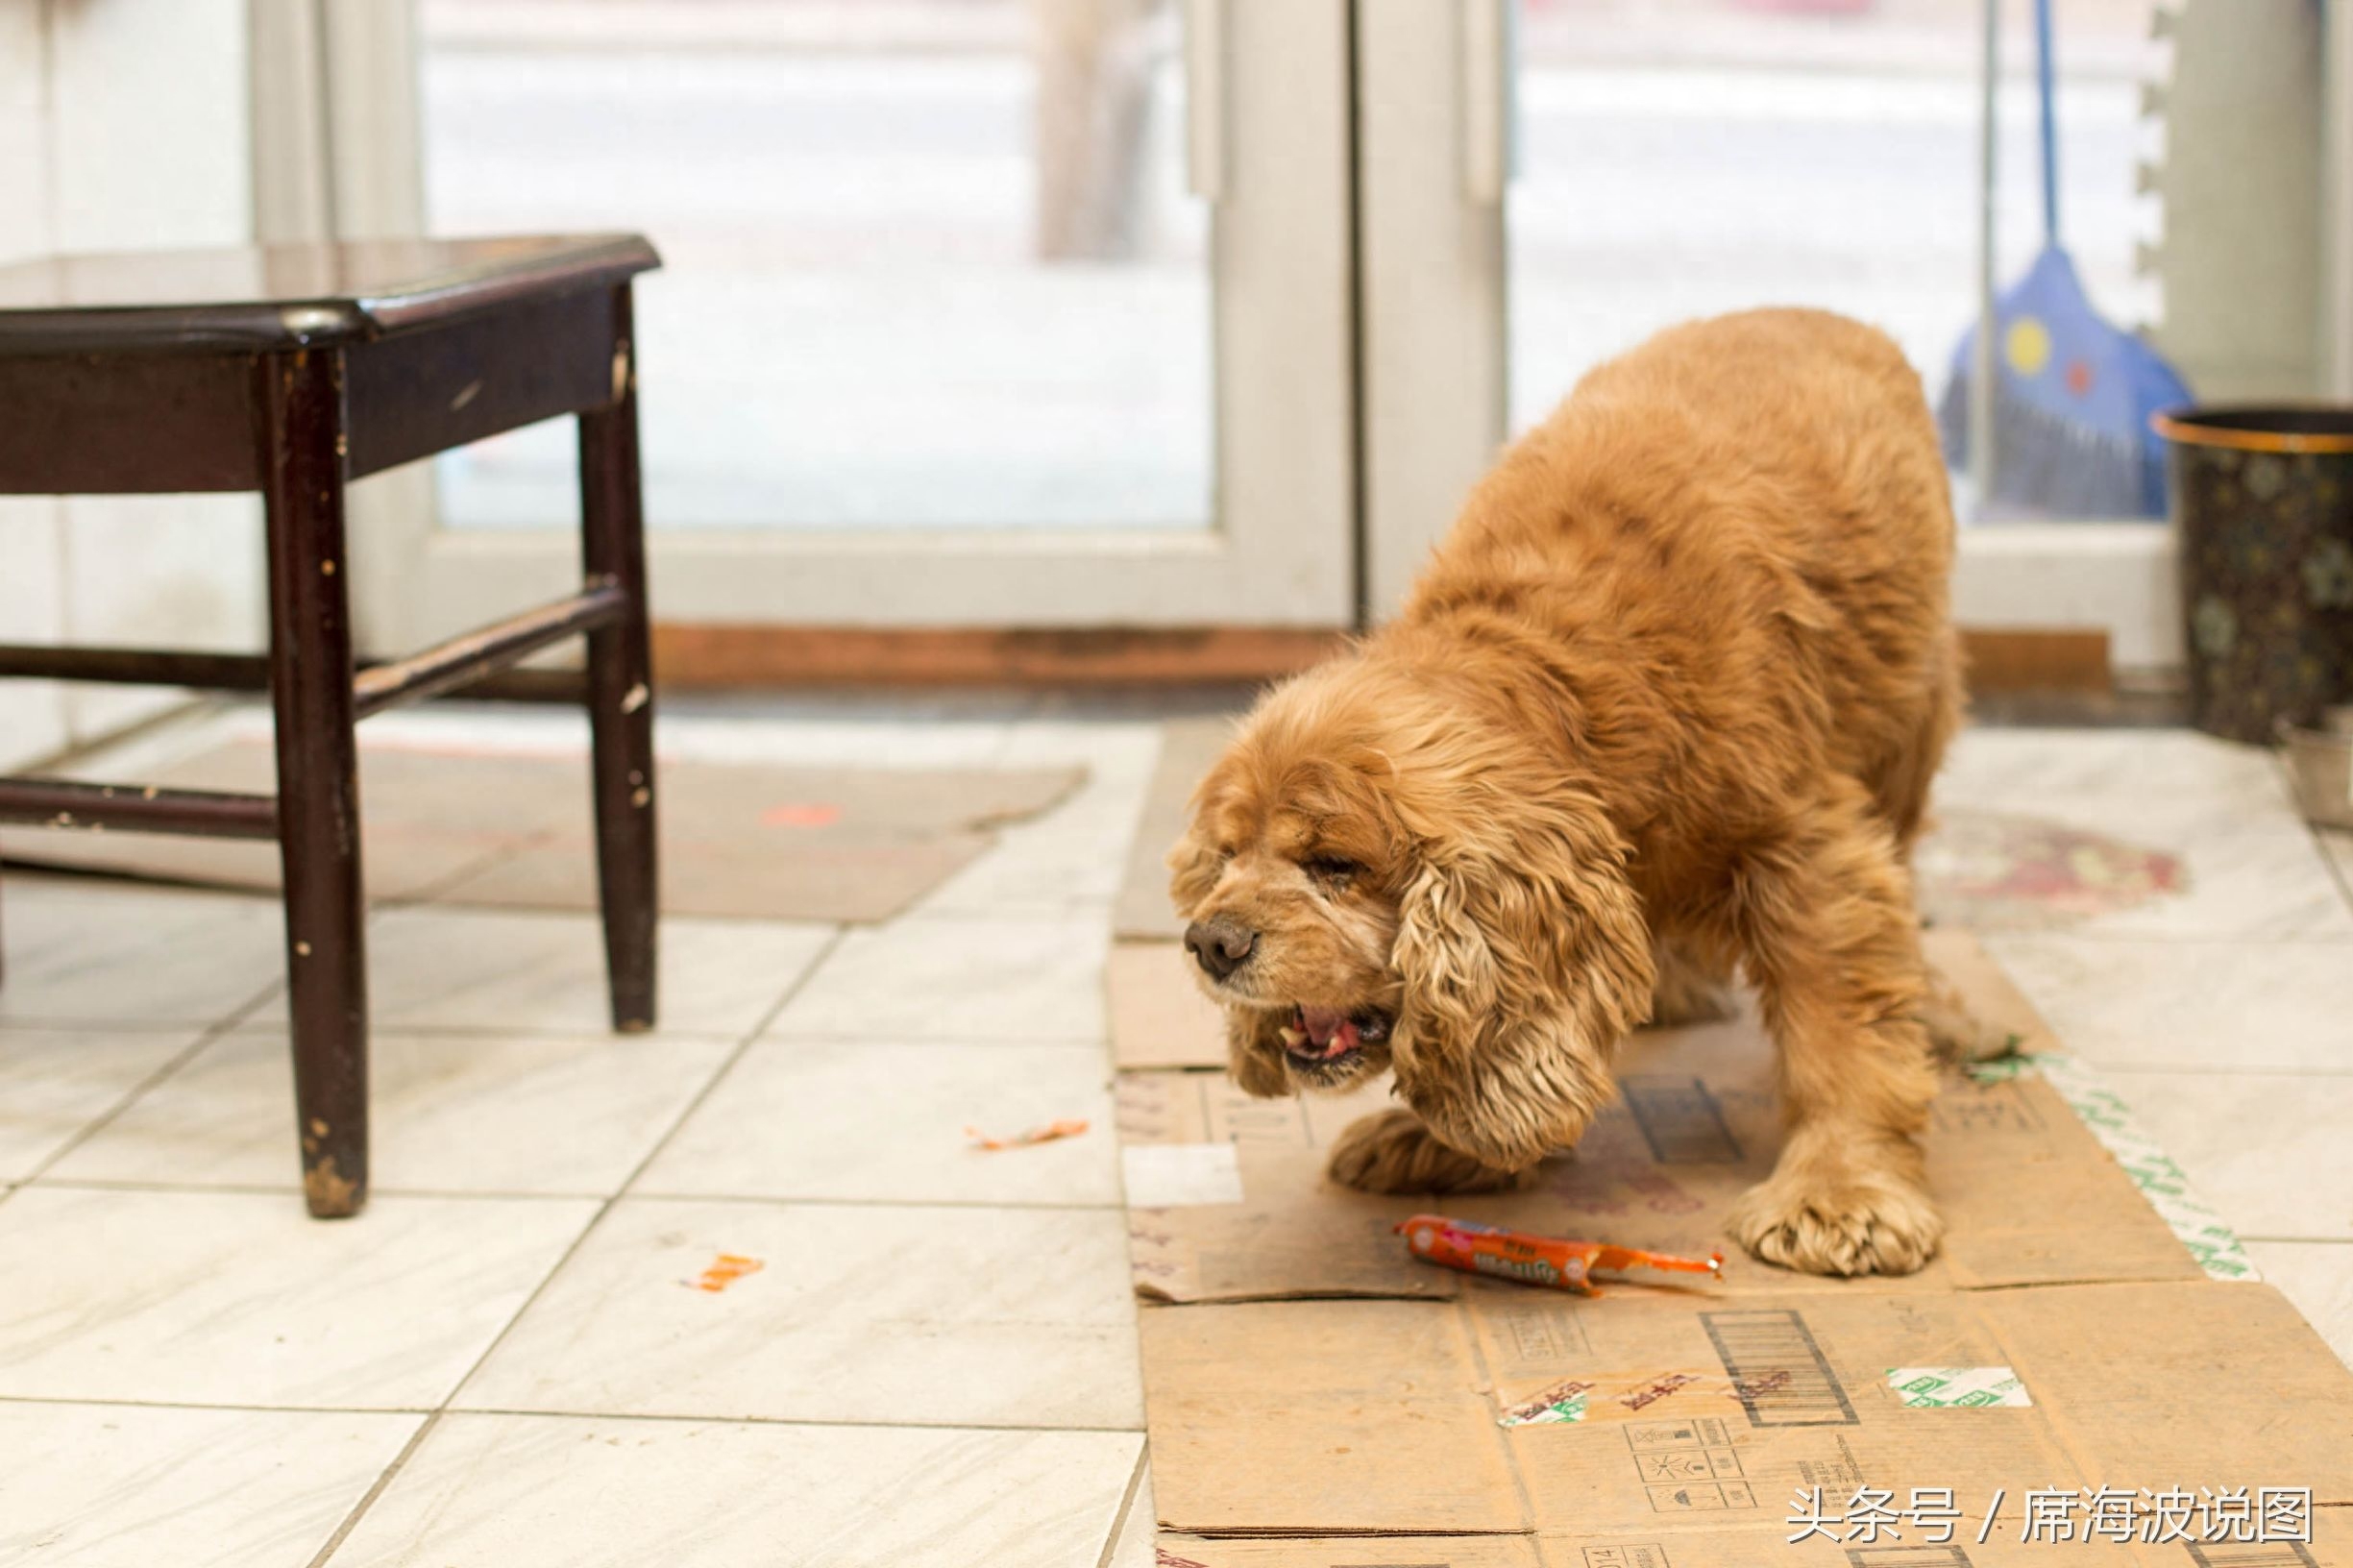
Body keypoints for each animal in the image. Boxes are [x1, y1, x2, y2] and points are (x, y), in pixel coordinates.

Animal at [1171, 306, 1967, 1271]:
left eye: (1335, 865)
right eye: (1226, 856)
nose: (1209, 942)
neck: (1569, 673)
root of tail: (1817, 314)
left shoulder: (1808, 850)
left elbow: (1838, 1028)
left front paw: (1841, 1193)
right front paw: (1443, 1144)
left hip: (1908, 725)